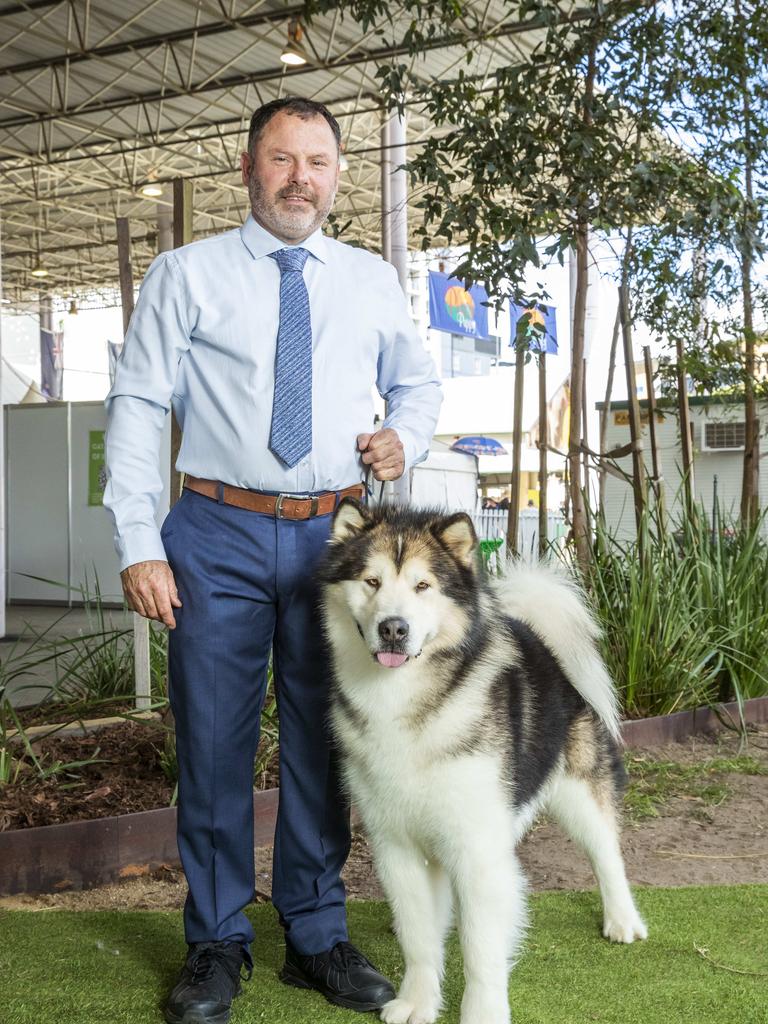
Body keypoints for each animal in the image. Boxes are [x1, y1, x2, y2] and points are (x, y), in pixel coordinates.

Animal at [319, 499, 651, 1024]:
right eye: (371, 581)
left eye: (422, 586)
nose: (394, 628)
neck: (403, 701)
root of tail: (537, 636)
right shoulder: (396, 844)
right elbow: (418, 938)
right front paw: (418, 1000)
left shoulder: (476, 845)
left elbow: (481, 946)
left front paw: (482, 1010)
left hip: (576, 791)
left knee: (606, 852)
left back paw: (622, 918)